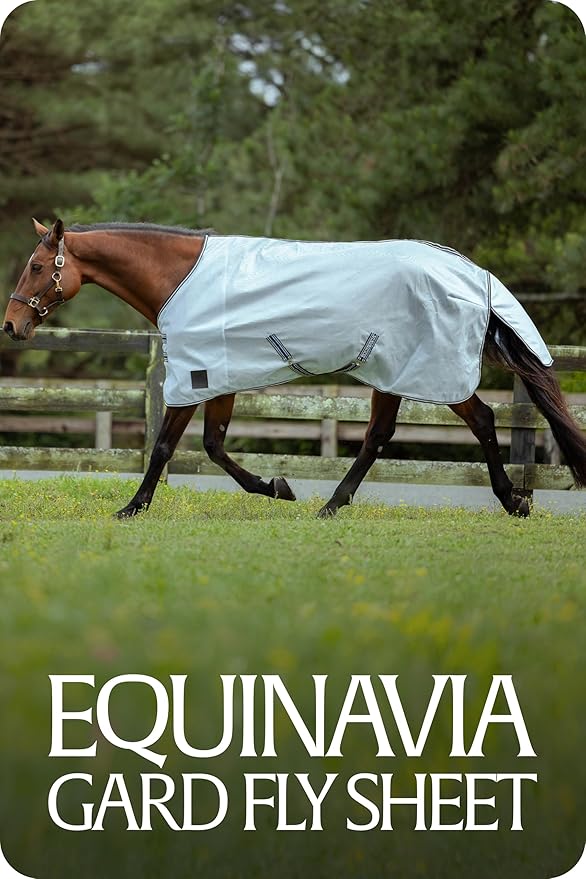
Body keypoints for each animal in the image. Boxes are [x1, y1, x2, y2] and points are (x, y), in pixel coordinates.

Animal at [3, 218, 585, 519]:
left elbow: (166, 446)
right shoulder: (220, 379)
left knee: (479, 421)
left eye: (36, 265)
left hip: (427, 372)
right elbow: (213, 447)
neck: (180, 279)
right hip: (392, 376)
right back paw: (334, 504)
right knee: (380, 436)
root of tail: (472, 273)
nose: (11, 325)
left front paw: (132, 507)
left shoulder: (195, 376)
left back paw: (512, 501)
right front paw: (277, 486)